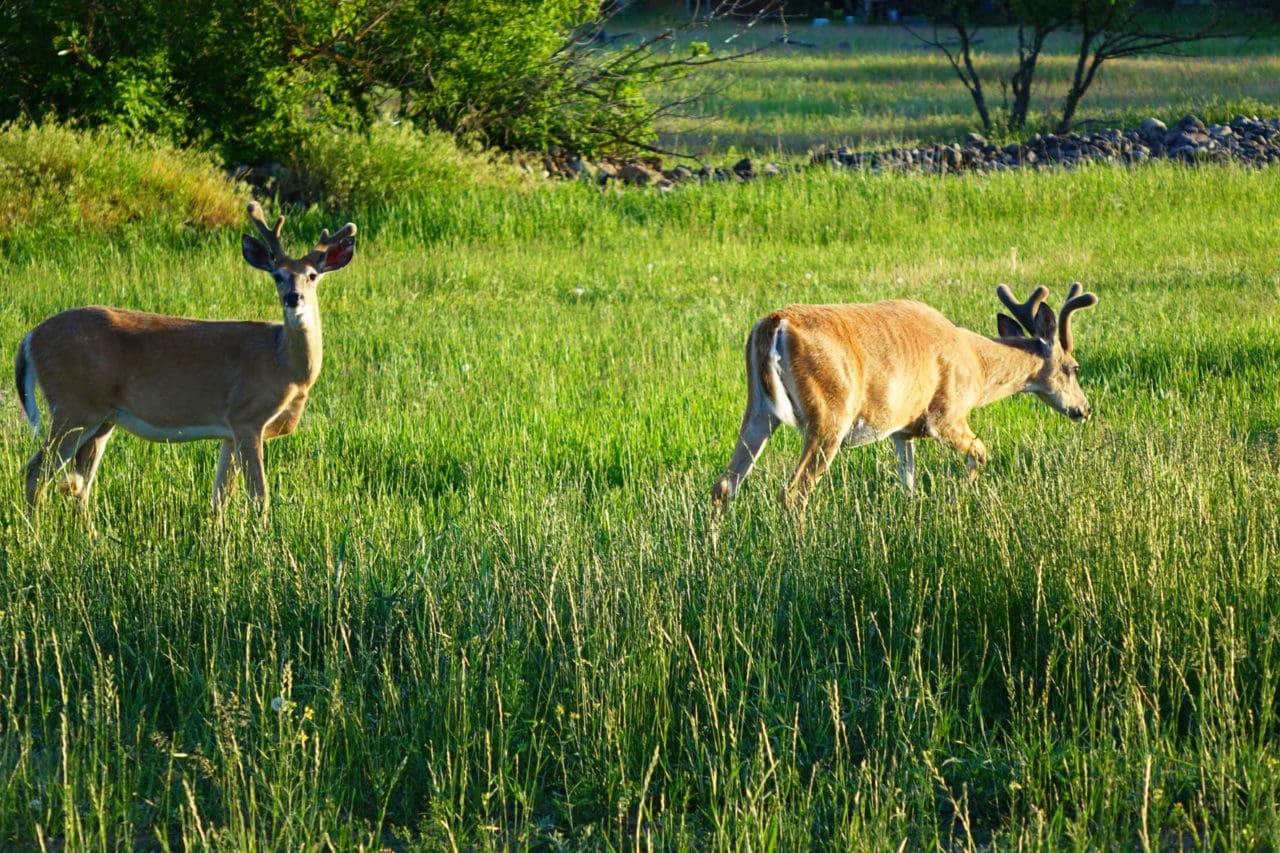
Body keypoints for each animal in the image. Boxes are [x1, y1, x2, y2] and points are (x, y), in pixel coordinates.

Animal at [13, 201, 355, 532]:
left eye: (312, 275)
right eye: (278, 275)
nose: (293, 297)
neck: (284, 363)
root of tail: (30, 338)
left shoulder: (229, 431)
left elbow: (220, 498)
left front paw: (219, 539)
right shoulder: (247, 416)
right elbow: (259, 495)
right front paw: (262, 541)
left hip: (101, 419)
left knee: (78, 485)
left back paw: (91, 539)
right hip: (73, 406)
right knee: (35, 472)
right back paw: (35, 538)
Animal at [711, 281, 1100, 514]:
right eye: (1074, 367)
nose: (1084, 409)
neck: (977, 364)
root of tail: (775, 323)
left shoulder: (902, 431)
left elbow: (908, 482)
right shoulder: (947, 414)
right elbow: (981, 453)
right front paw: (954, 499)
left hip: (758, 410)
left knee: (724, 485)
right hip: (829, 414)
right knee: (794, 491)